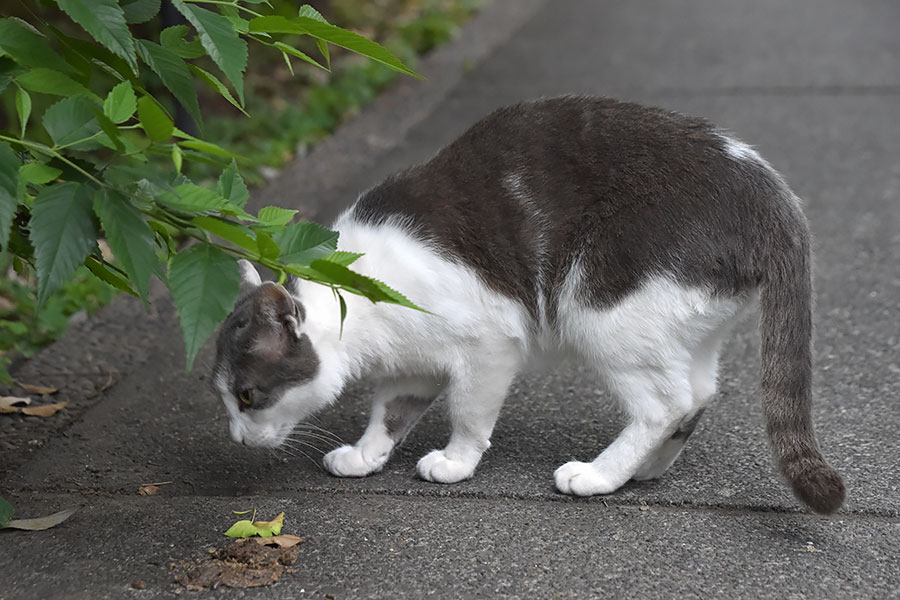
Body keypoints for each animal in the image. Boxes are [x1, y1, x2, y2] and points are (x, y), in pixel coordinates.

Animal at [214, 96, 848, 512]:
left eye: (247, 396)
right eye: (224, 398)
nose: (237, 440)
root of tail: (771, 191)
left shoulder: (489, 342)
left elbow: (469, 412)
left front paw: (455, 462)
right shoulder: (413, 362)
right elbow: (388, 411)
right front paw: (366, 455)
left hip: (604, 310)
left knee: (664, 402)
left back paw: (599, 475)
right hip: (681, 321)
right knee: (697, 393)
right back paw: (645, 469)